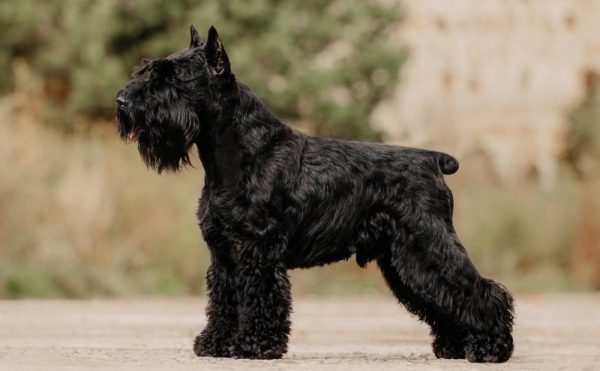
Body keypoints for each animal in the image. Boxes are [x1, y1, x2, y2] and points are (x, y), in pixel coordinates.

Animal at [115, 25, 512, 364]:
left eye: (173, 77)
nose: (122, 101)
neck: (239, 153)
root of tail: (433, 160)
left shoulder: (257, 249)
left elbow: (259, 297)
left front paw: (254, 345)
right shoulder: (223, 252)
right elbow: (223, 300)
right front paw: (215, 343)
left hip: (427, 246)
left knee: (482, 292)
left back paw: (492, 348)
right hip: (403, 260)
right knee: (444, 299)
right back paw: (455, 347)